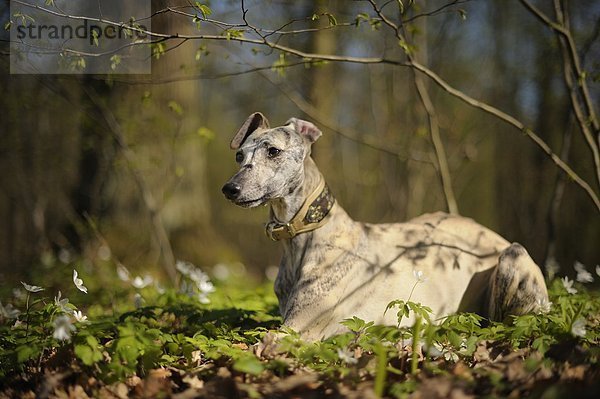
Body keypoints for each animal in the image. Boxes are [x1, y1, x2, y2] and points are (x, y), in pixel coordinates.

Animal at [221, 112, 548, 340]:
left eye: (273, 151)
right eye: (239, 155)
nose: (229, 189)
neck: (308, 236)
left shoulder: (300, 328)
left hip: (513, 258)